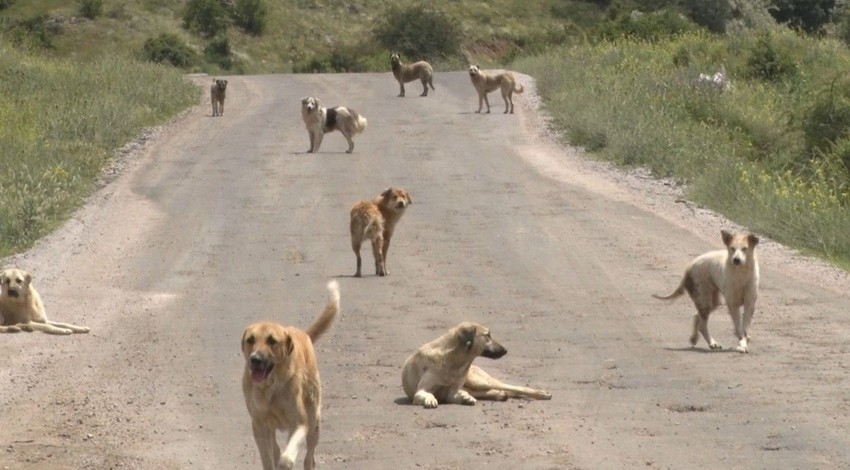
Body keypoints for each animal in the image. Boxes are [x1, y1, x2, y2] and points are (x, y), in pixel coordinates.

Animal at [240, 280, 340, 470]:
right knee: (276, 448)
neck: (271, 386)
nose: (255, 359)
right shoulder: (259, 425)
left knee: (309, 458)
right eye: (250, 340)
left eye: (272, 341)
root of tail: (304, 333)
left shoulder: (301, 423)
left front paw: (287, 461)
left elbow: (287, 456)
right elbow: (268, 457)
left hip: (314, 421)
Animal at [402, 322, 552, 410]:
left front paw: (465, 398)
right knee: (496, 391)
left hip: (478, 381)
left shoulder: (453, 391)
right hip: (476, 385)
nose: (505, 350)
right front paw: (430, 399)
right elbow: (426, 394)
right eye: (488, 335)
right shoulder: (422, 391)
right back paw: (498, 395)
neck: (453, 360)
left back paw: (541, 393)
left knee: (513, 388)